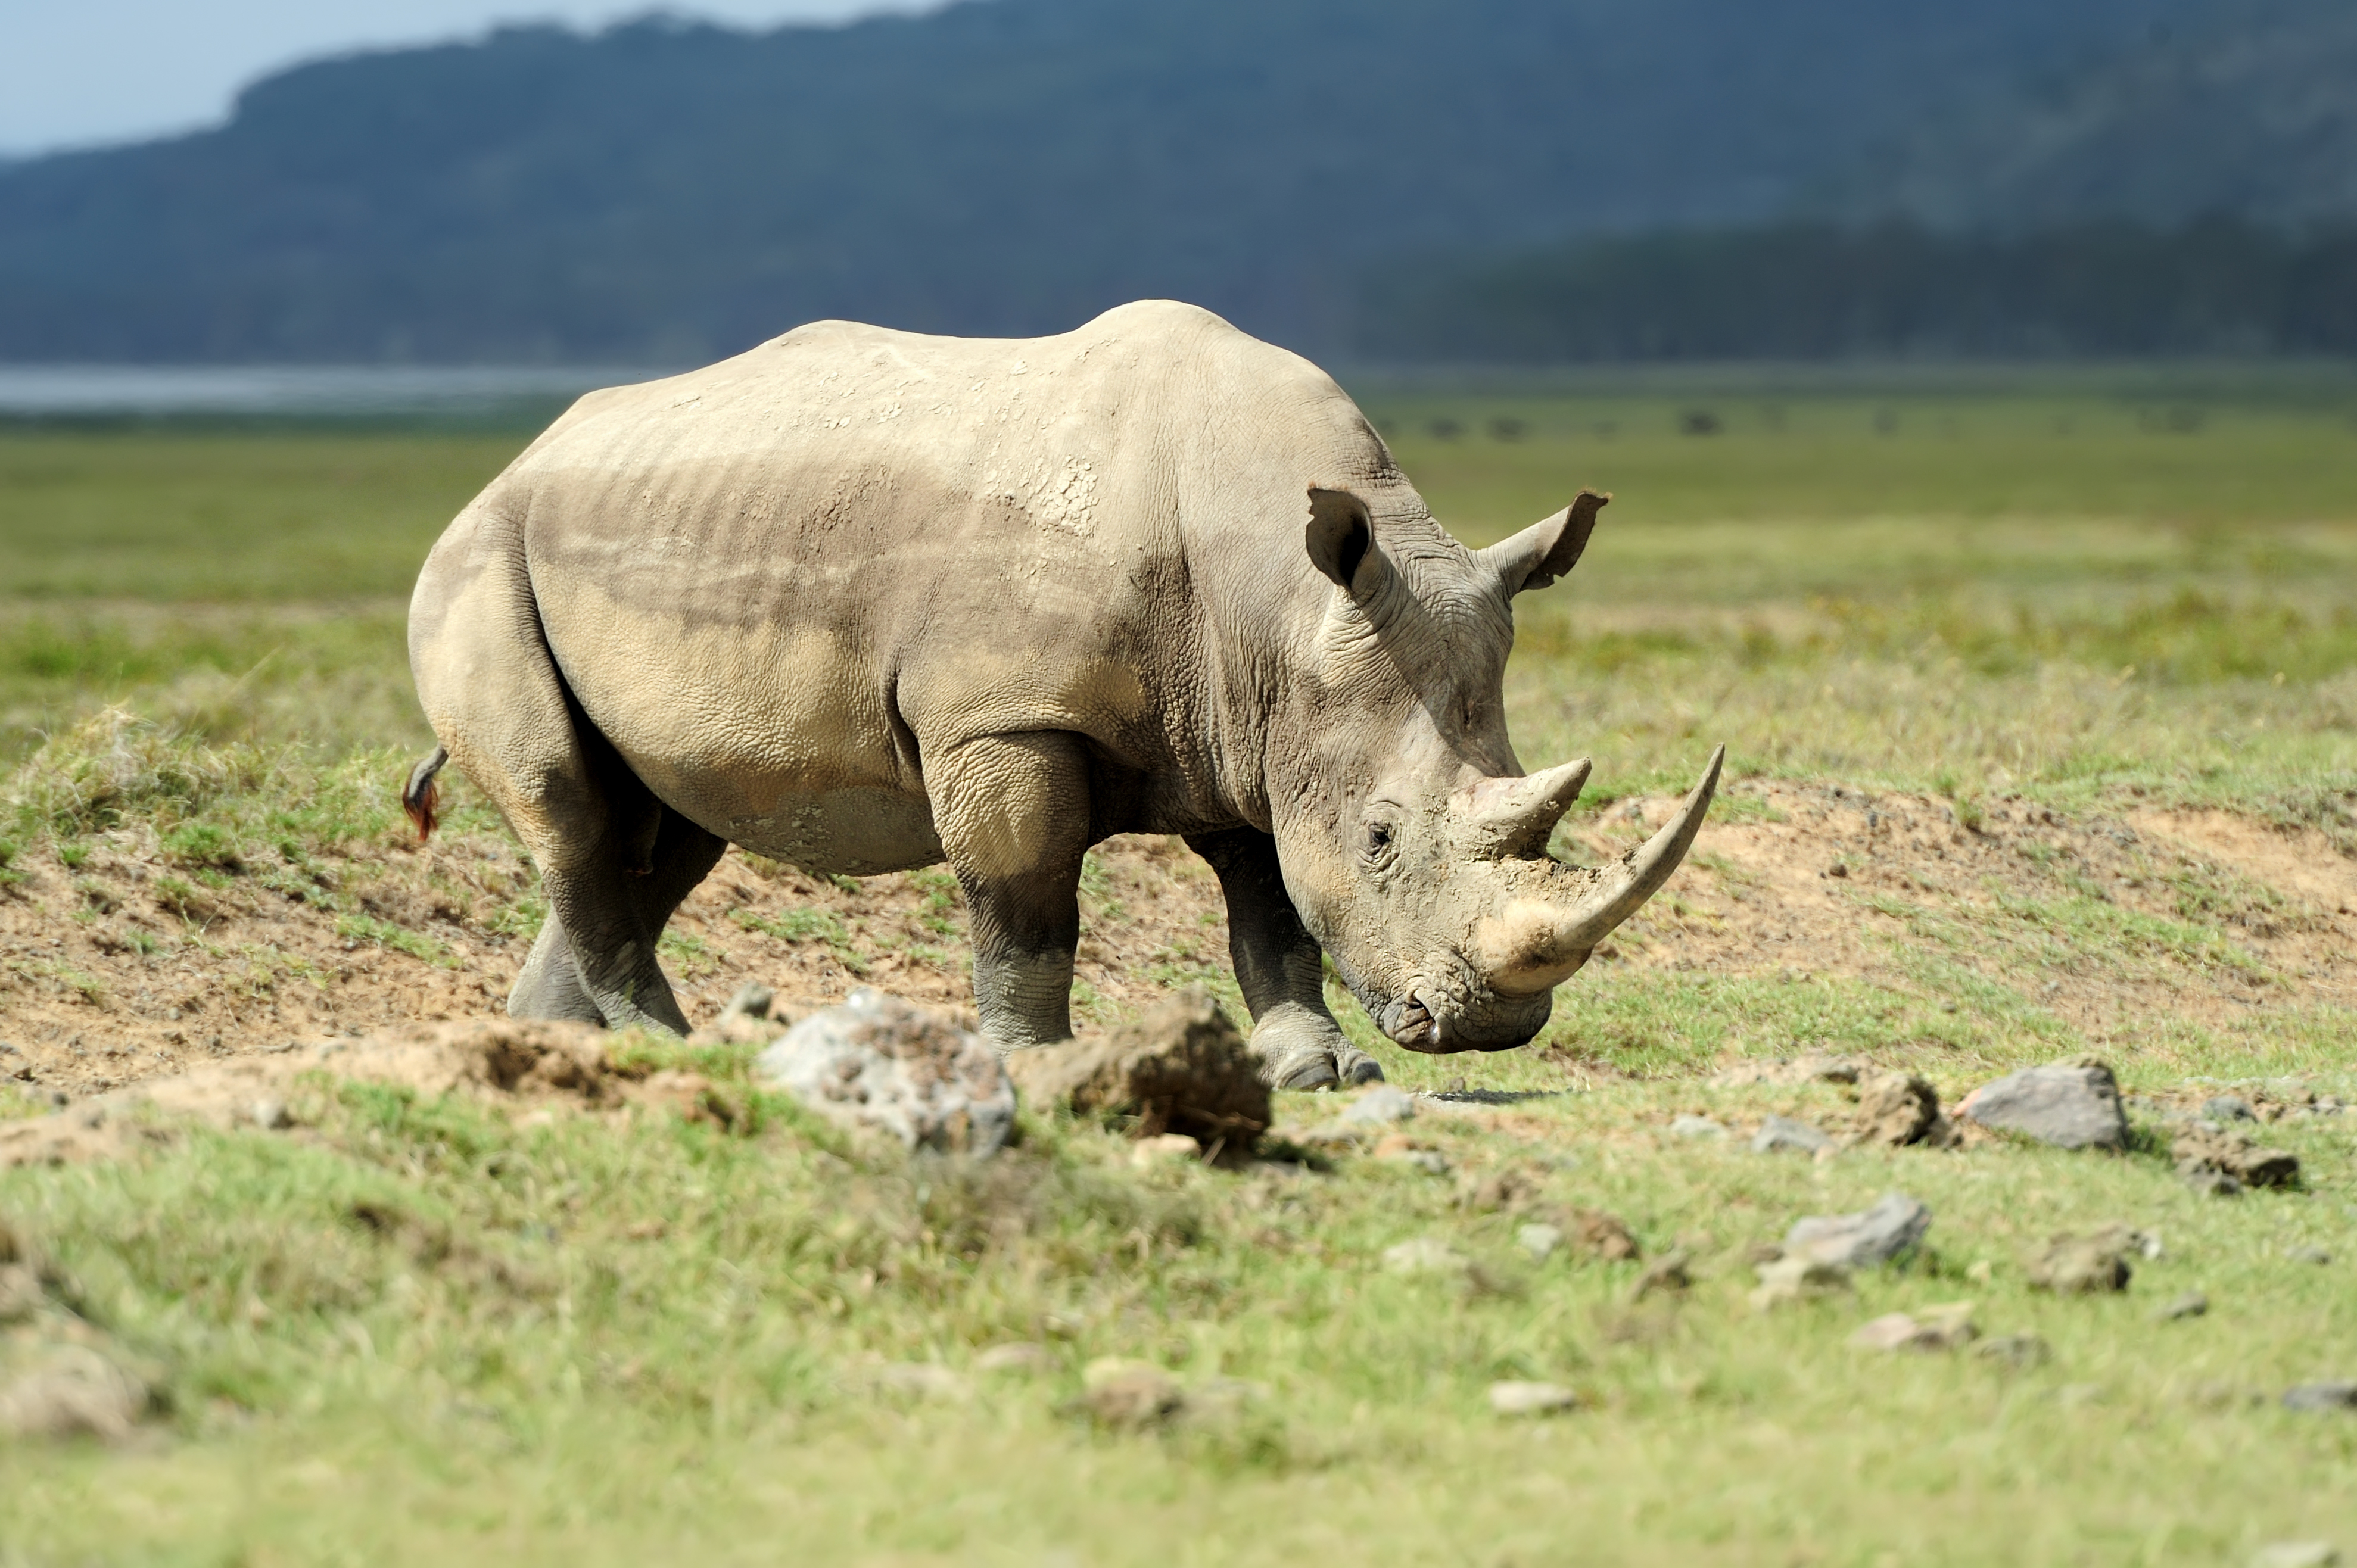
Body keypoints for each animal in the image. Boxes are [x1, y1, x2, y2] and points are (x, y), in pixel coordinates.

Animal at [405, 300, 1719, 1089]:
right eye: (1383, 837)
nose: (1491, 1023)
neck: (1277, 598)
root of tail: (520, 454)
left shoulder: (1249, 725)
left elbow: (1268, 905)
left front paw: (1317, 1069)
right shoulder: (1005, 716)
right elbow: (1028, 899)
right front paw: (1037, 1064)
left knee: (663, 828)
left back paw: (568, 1042)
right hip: (480, 554)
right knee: (570, 801)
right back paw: (670, 1045)